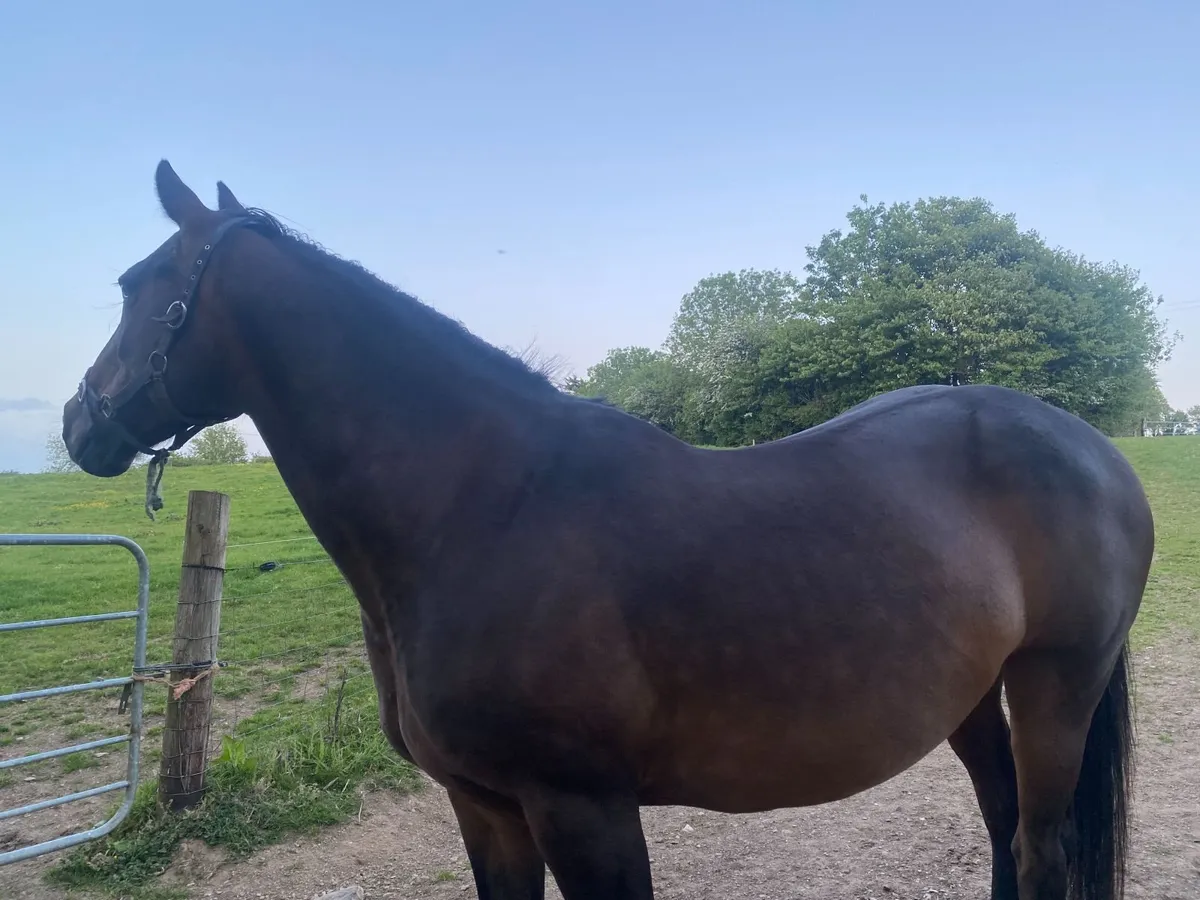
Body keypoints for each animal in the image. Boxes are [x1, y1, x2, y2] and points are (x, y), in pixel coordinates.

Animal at [63, 161, 1152, 900]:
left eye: (134, 284)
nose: (78, 423)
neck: (478, 509)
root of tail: (1091, 450)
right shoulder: (485, 808)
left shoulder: (583, 808)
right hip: (969, 699)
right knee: (1005, 830)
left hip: (1056, 687)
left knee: (1041, 848)